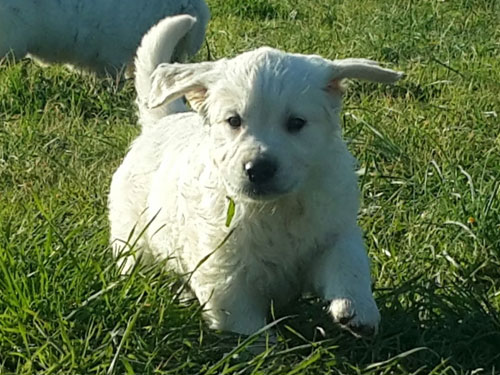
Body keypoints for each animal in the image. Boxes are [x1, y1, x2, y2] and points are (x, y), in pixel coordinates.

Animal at [108, 15, 402, 338]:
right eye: (234, 120)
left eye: (296, 123)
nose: (258, 169)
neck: (276, 209)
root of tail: (163, 120)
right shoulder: (224, 276)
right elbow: (249, 329)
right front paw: (271, 349)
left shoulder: (333, 227)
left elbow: (348, 262)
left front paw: (358, 309)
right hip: (132, 238)